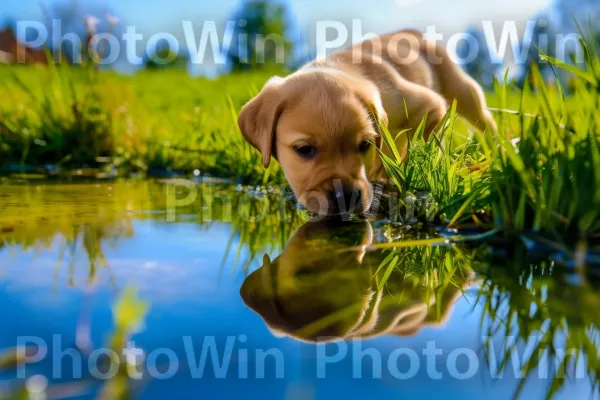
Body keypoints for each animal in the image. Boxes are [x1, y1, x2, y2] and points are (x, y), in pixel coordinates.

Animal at [239, 28, 496, 216]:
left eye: (364, 145)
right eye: (304, 149)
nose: (346, 197)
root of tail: (412, 32)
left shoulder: (431, 106)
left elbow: (422, 148)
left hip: (462, 90)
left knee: (484, 119)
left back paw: (498, 149)